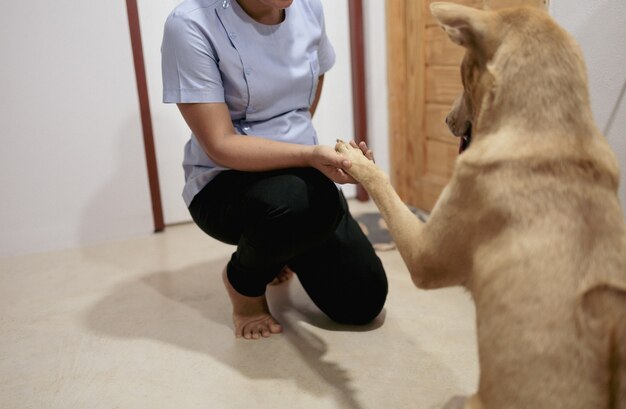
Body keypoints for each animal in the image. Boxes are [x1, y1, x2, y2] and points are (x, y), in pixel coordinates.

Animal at [336, 3, 624, 408]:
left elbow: (384, 185)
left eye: (461, 73)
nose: (445, 119)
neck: (554, 131)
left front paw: (358, 160)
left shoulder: (425, 254)